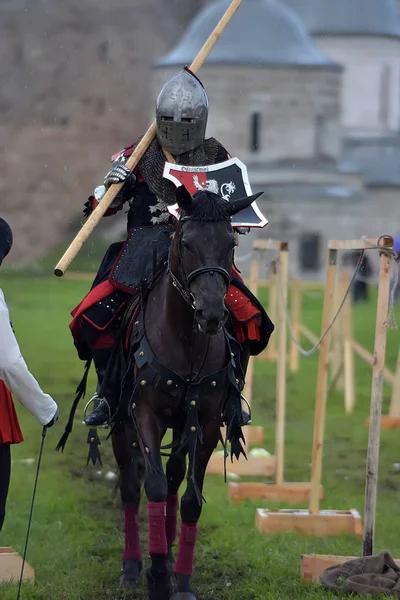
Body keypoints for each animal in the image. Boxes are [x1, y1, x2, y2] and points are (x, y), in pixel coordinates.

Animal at [111, 188, 260, 600]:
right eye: (188, 243)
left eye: (231, 244)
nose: (211, 315)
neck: (187, 340)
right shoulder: (144, 414)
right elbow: (153, 485)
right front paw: (159, 575)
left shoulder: (206, 424)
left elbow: (190, 497)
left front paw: (182, 579)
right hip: (120, 422)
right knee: (131, 485)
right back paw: (133, 565)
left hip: (182, 424)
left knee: (176, 477)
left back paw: (170, 538)